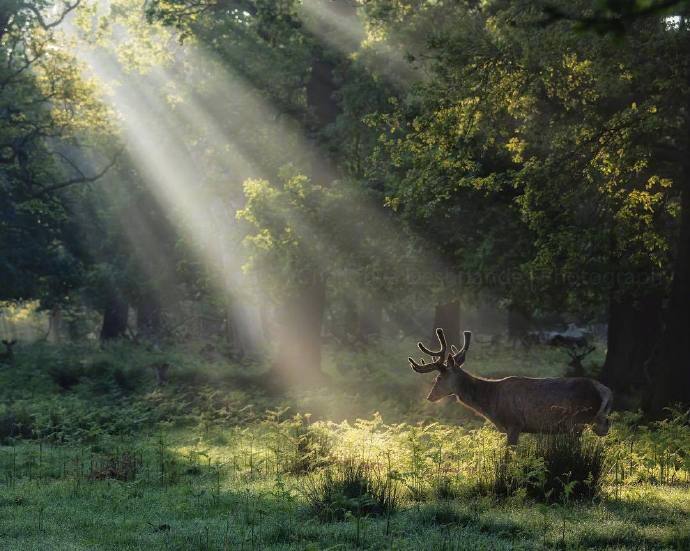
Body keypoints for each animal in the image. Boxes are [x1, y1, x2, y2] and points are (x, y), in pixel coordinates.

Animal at [409, 328, 612, 445]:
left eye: (438, 377)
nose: (430, 397)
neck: (491, 402)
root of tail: (605, 391)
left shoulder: (514, 422)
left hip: (577, 420)